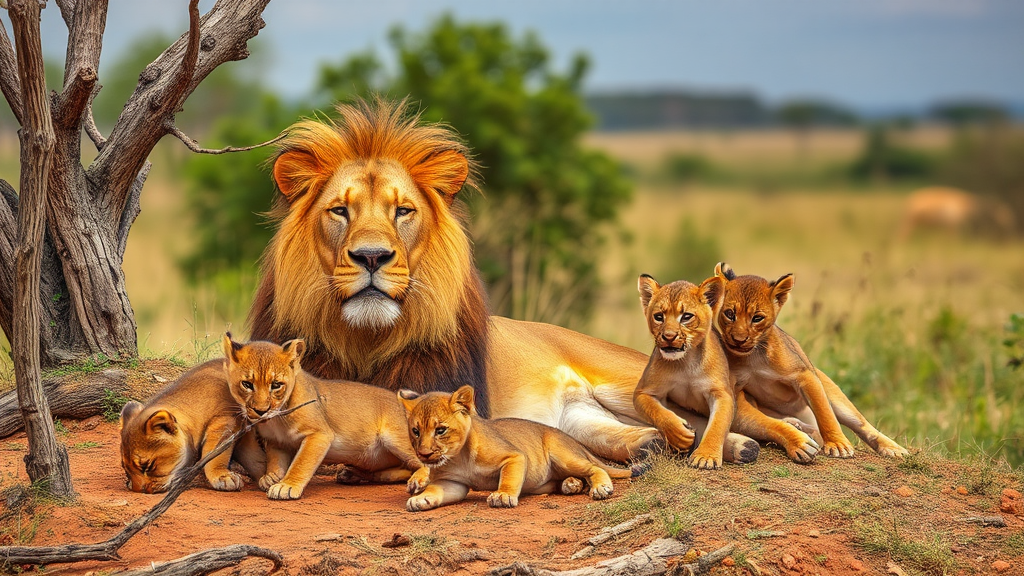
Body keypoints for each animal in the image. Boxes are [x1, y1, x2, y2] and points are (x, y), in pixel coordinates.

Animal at [249, 98, 761, 461]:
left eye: (403, 211)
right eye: (340, 210)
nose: (372, 255)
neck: (365, 341)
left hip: (632, 378)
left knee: (718, 412)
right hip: (582, 415)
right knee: (640, 429)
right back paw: (658, 445)